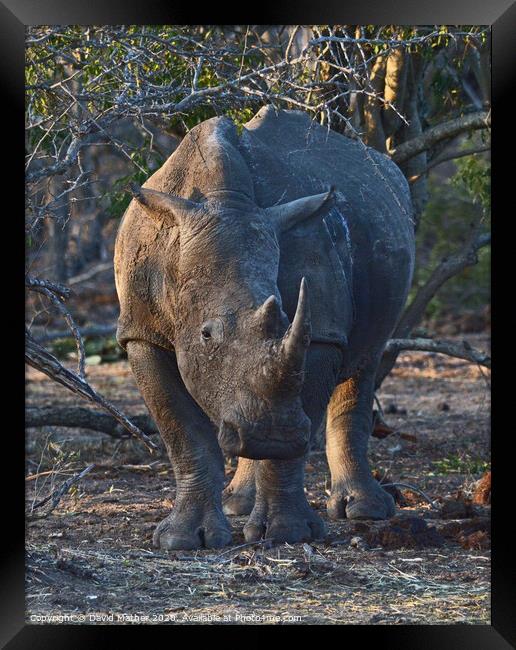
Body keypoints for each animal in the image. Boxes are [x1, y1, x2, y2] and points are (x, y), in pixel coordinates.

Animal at [114, 105, 416, 548]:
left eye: (290, 321)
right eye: (206, 335)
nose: (269, 434)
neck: (224, 201)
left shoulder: (320, 331)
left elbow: (298, 417)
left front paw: (288, 533)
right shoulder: (140, 330)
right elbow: (184, 433)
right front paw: (184, 541)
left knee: (366, 361)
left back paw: (365, 510)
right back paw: (237, 503)